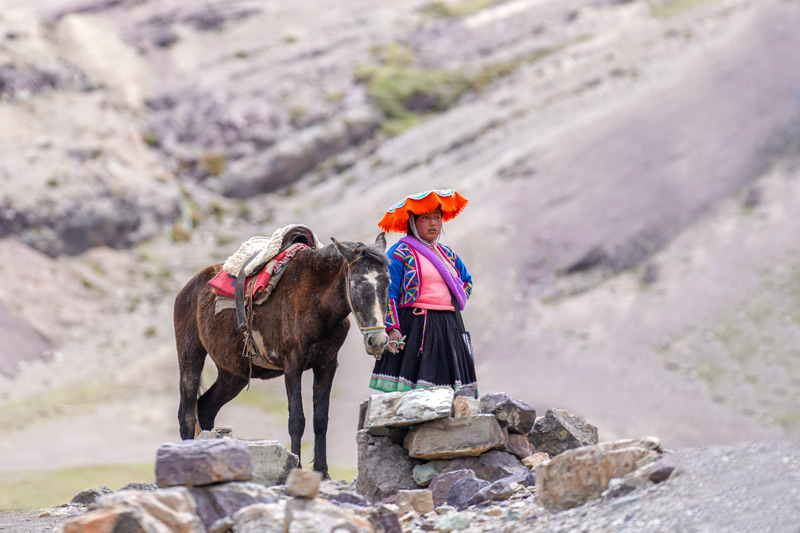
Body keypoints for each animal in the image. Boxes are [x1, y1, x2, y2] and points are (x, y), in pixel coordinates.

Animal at [173, 232, 390, 478]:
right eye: (355, 284)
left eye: (388, 283)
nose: (377, 340)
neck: (317, 301)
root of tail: (188, 289)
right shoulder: (292, 364)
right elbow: (296, 420)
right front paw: (296, 468)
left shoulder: (327, 364)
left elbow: (320, 419)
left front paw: (322, 472)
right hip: (190, 356)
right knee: (187, 415)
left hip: (233, 374)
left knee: (206, 408)